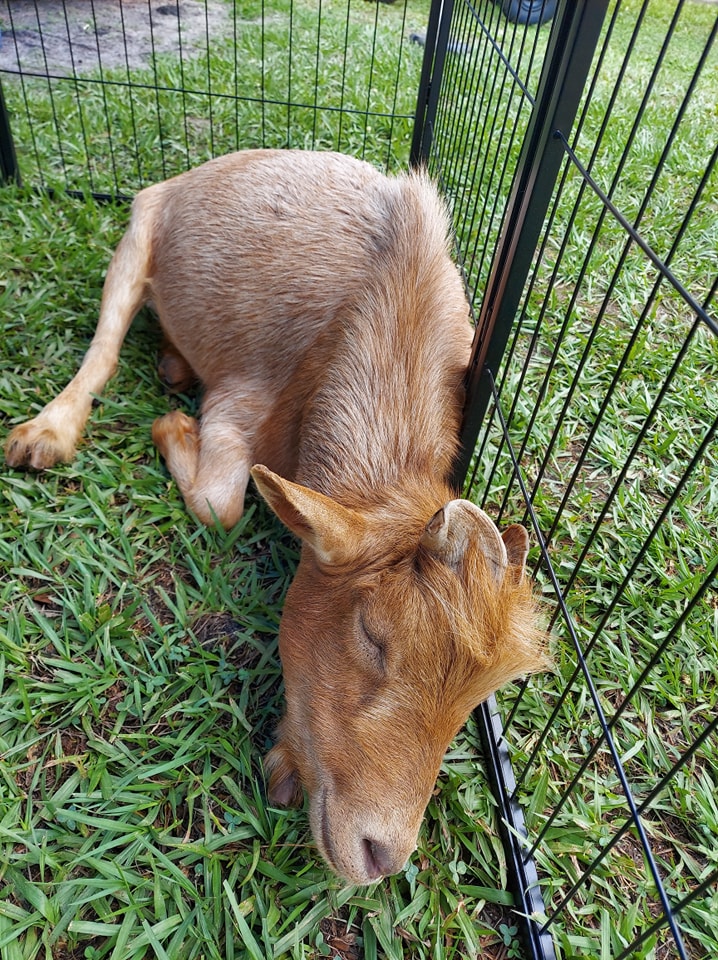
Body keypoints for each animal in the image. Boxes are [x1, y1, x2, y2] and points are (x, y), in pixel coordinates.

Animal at [5, 148, 548, 884]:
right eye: (373, 634)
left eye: (482, 693)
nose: (381, 855)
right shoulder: (241, 400)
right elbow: (219, 505)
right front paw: (172, 429)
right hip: (137, 231)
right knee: (105, 343)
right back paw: (51, 430)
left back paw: (174, 366)